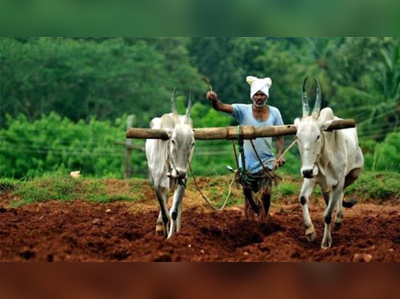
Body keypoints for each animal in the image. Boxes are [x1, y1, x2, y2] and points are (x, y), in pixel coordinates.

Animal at [145, 91, 195, 239]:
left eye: (192, 143)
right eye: (173, 140)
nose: (181, 172)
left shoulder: (182, 182)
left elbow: (173, 213)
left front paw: (172, 237)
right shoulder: (157, 185)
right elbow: (165, 214)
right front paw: (163, 236)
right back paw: (159, 225)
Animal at [294, 78, 362, 250]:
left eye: (318, 136)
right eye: (297, 136)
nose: (306, 171)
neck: (325, 161)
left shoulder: (338, 181)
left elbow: (327, 215)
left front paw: (326, 243)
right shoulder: (311, 178)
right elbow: (302, 198)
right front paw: (310, 231)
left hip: (354, 173)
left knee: (340, 195)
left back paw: (338, 219)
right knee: (329, 199)